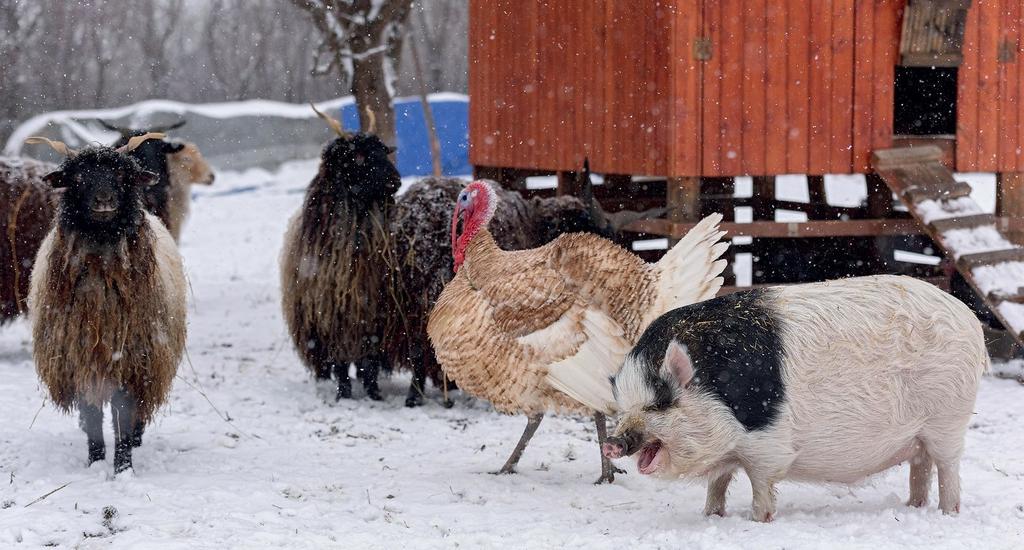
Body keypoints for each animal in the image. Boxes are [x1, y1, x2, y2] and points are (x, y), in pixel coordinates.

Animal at [28, 138, 187, 471]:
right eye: (77, 178)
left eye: (122, 175)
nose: (104, 199)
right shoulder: (80, 358)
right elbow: (91, 415)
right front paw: (96, 461)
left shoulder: (130, 359)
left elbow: (123, 415)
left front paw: (123, 466)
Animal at [280, 123, 399, 399]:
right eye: (358, 156)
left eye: (383, 151)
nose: (396, 181)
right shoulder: (330, 317)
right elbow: (340, 362)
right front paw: (344, 393)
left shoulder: (374, 316)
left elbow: (370, 360)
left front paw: (374, 393)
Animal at [602, 274, 987, 518]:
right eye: (624, 406)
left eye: (659, 402)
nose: (612, 442)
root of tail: (968, 317)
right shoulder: (730, 455)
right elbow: (718, 484)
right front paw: (711, 516)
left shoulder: (766, 445)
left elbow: (761, 486)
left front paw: (758, 520)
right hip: (922, 433)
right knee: (921, 466)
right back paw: (912, 507)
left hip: (948, 419)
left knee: (947, 466)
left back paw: (947, 513)